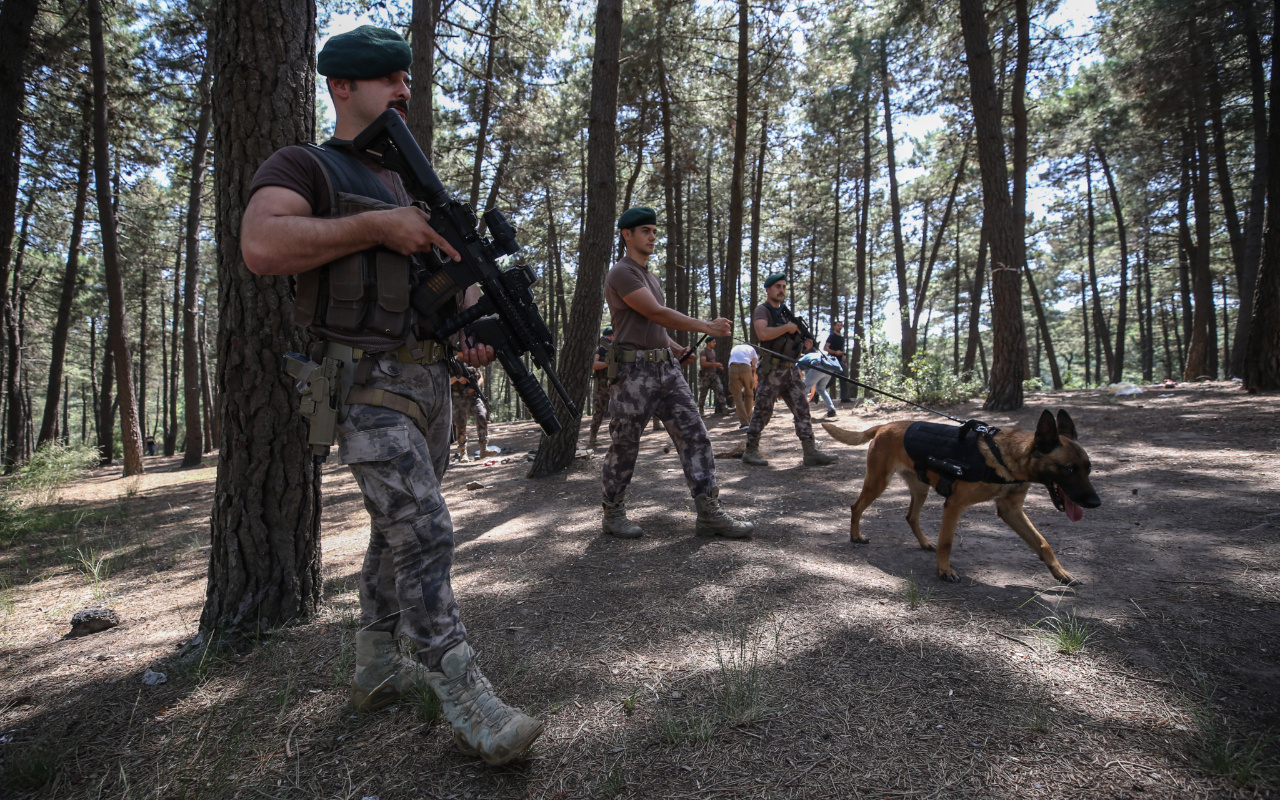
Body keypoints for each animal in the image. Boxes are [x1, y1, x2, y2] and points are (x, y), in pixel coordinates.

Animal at [819, 409, 1100, 583]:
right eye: (1070, 469)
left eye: (1088, 468)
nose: (1095, 502)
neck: (1003, 457)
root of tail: (885, 425)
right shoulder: (955, 504)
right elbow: (947, 542)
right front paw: (945, 571)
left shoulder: (1011, 510)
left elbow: (1042, 542)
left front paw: (1061, 573)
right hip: (877, 483)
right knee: (856, 507)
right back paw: (856, 536)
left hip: (920, 489)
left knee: (910, 516)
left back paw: (924, 542)